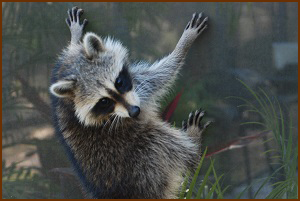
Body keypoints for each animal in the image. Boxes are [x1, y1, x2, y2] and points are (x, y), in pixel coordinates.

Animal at [49, 6, 211, 199]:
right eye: (104, 101)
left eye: (119, 82)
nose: (135, 112)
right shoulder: (140, 88)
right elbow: (162, 75)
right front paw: (183, 45)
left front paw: (75, 36)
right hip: (145, 158)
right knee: (166, 142)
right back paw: (194, 144)